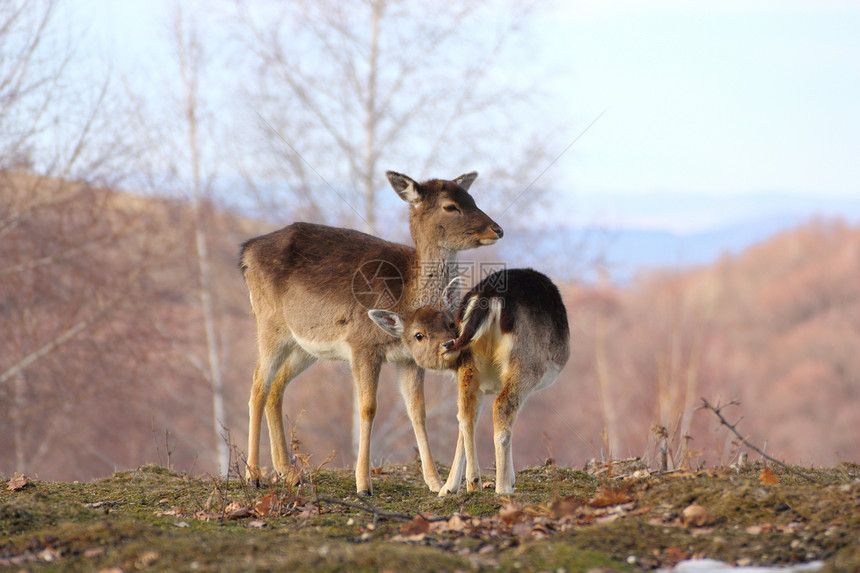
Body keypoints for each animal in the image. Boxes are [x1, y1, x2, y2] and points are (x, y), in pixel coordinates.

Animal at [239, 168, 500, 494]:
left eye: (472, 198)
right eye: (450, 206)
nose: (496, 229)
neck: (406, 296)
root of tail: (246, 252)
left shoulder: (408, 359)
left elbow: (418, 410)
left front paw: (434, 481)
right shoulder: (361, 345)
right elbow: (368, 408)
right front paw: (363, 483)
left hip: (305, 346)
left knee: (276, 387)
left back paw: (289, 473)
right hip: (269, 324)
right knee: (257, 386)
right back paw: (253, 475)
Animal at [372, 266, 568, 494]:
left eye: (450, 323)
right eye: (418, 335)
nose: (447, 344)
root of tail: (490, 295)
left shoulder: (480, 384)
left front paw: (456, 486)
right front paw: (510, 480)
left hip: (471, 361)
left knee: (464, 413)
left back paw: (461, 484)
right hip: (526, 363)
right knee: (502, 408)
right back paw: (502, 488)